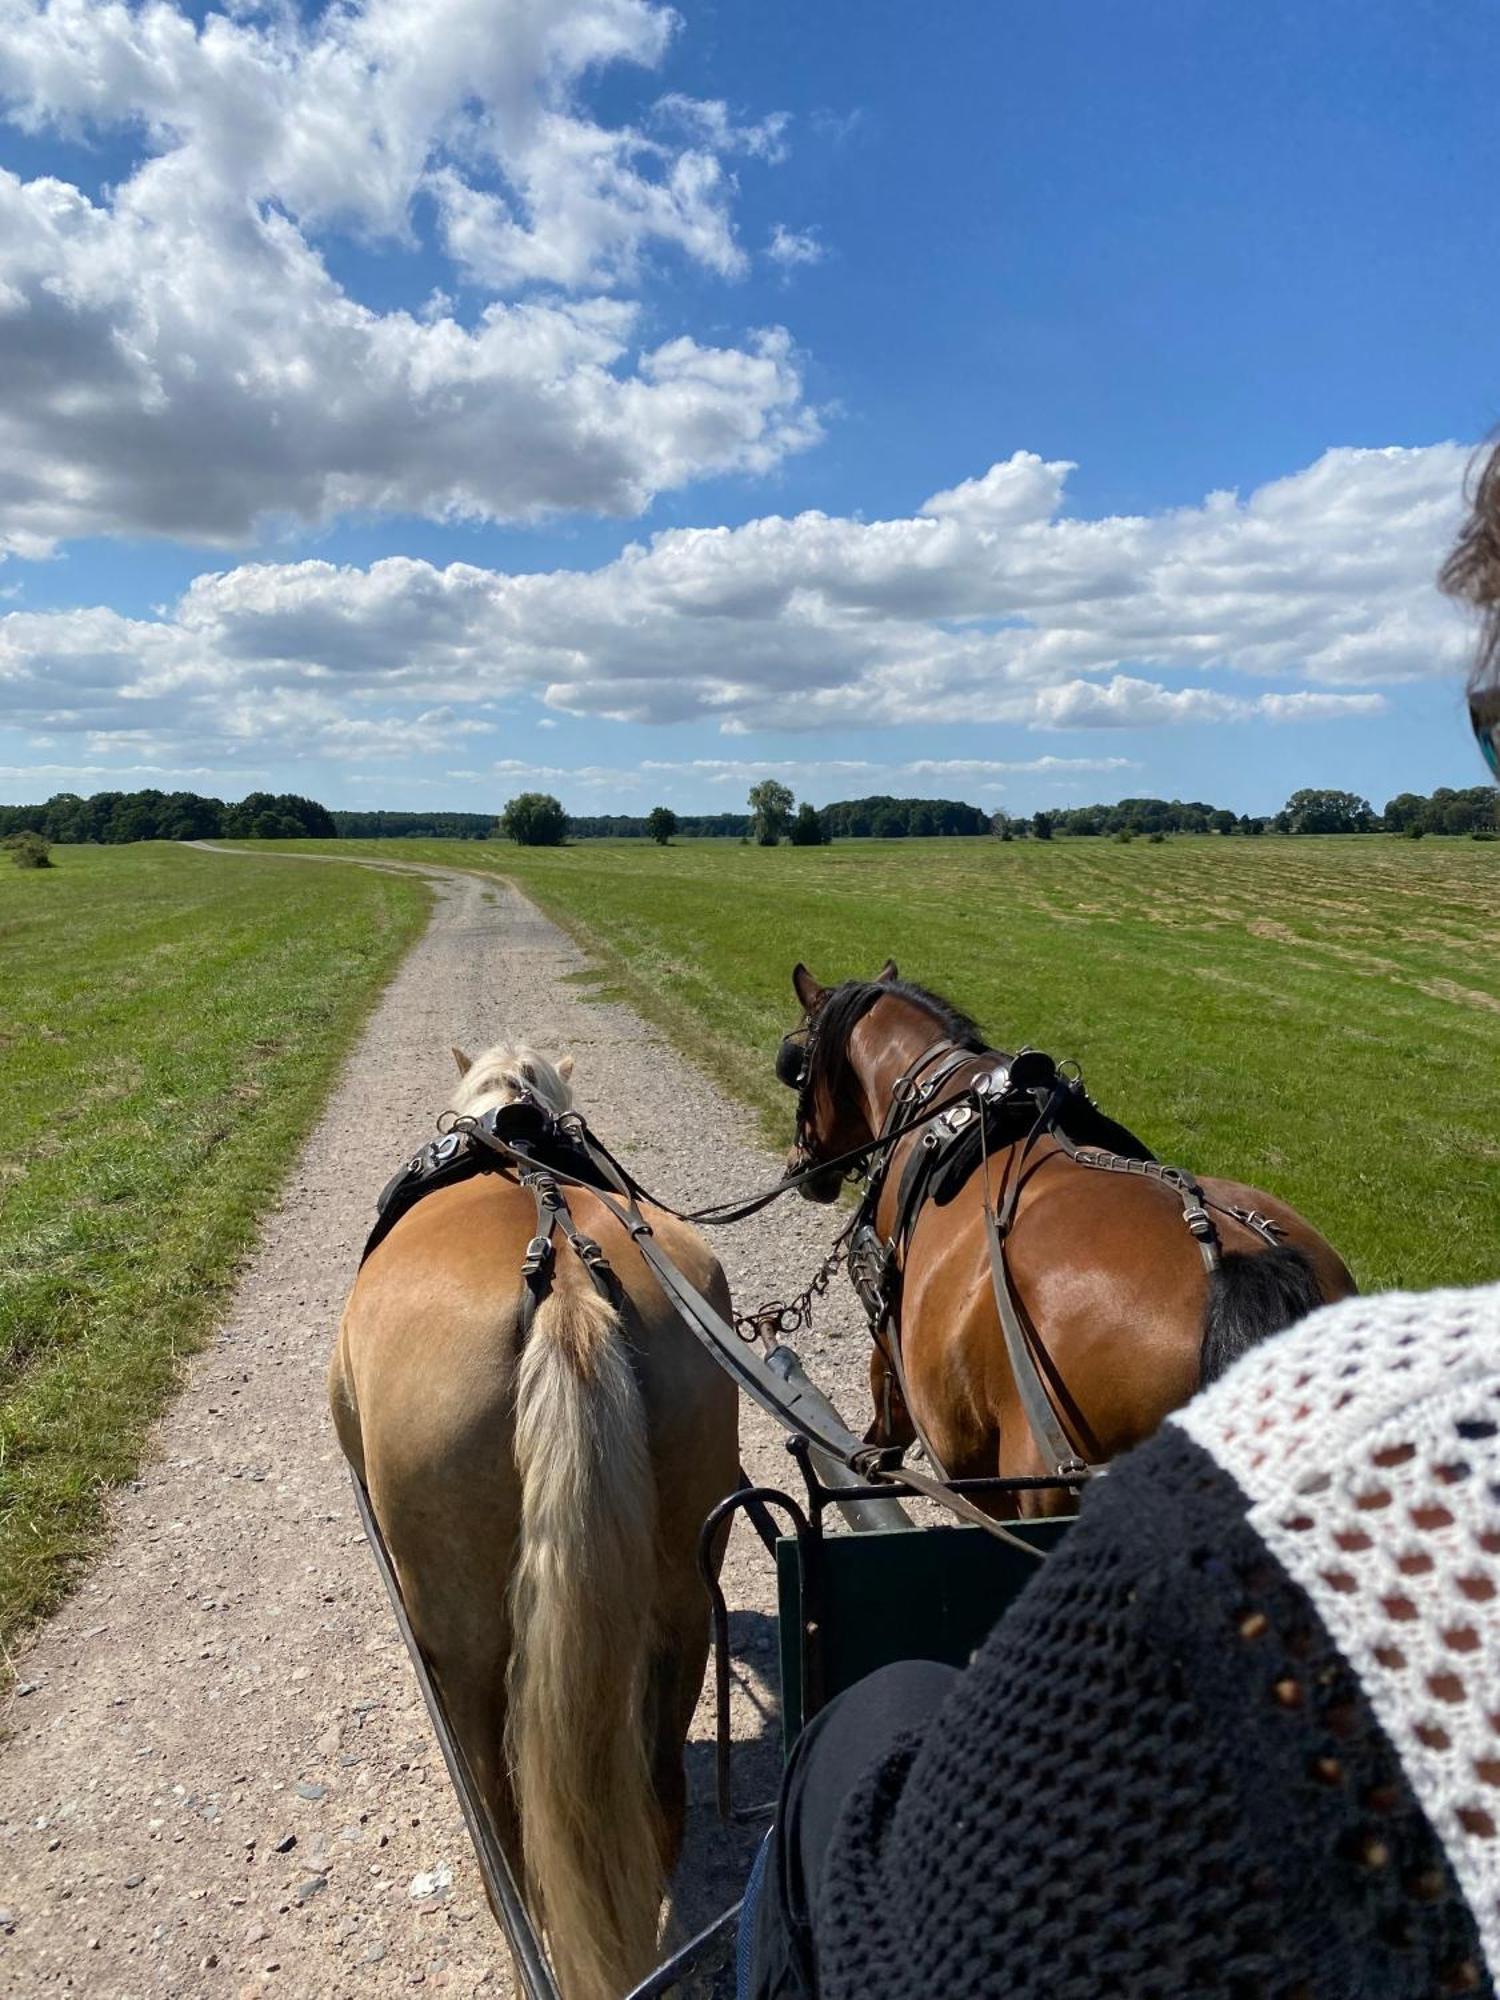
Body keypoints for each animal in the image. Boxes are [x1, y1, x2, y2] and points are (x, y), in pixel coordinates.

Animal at [780, 960, 1360, 1504]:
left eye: (796, 1067)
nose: (800, 1168)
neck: (935, 1102)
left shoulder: (889, 1325)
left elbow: (887, 1402)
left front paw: (872, 1456)